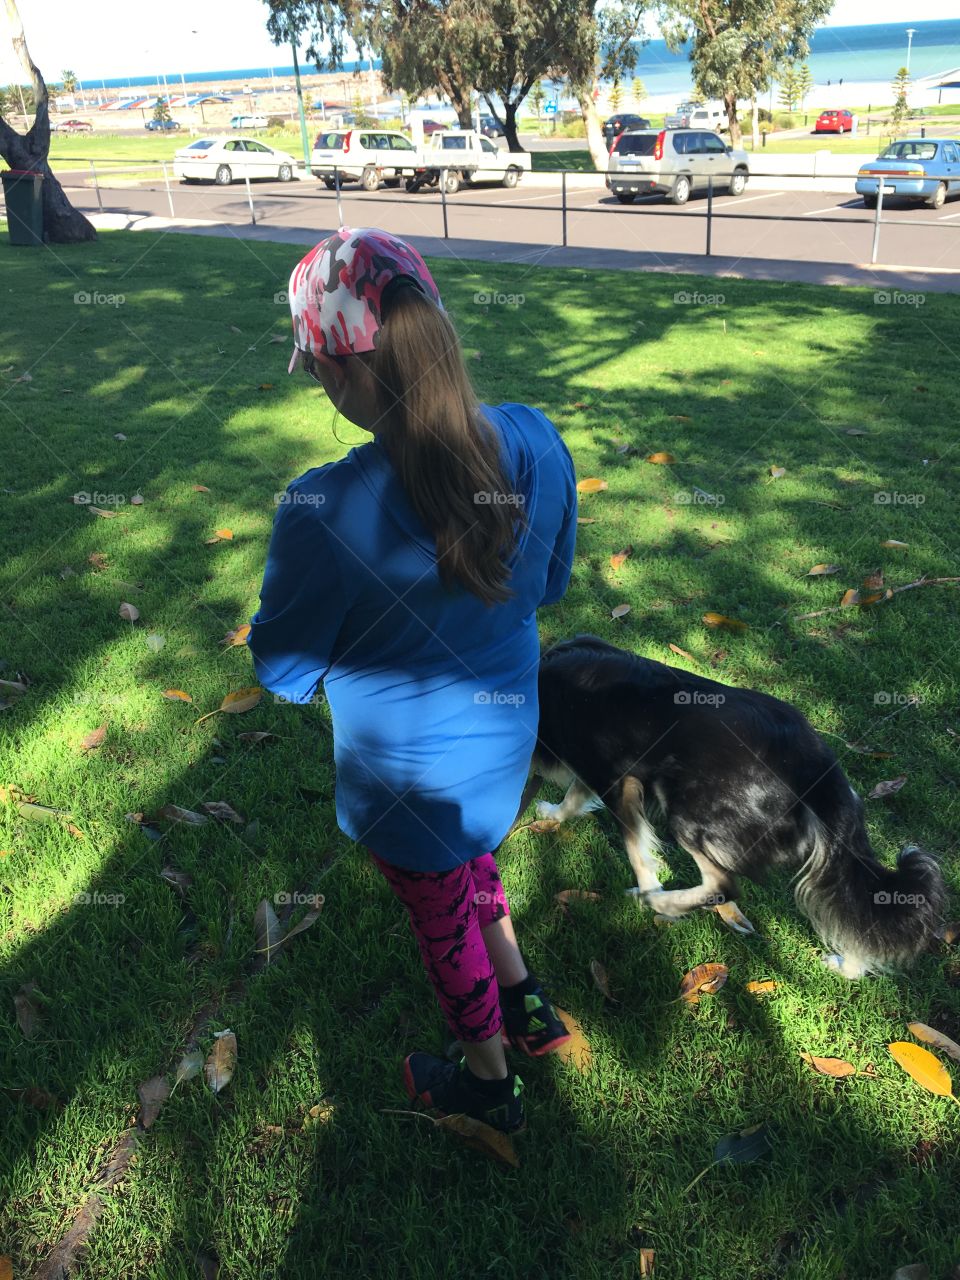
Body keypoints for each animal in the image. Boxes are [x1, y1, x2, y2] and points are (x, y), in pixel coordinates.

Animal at [535, 632, 947, 977]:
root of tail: (812, 763)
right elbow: (576, 799)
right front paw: (553, 814)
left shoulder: (614, 779)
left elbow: (634, 848)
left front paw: (649, 888)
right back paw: (850, 966)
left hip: (690, 813)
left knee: (723, 885)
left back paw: (662, 902)